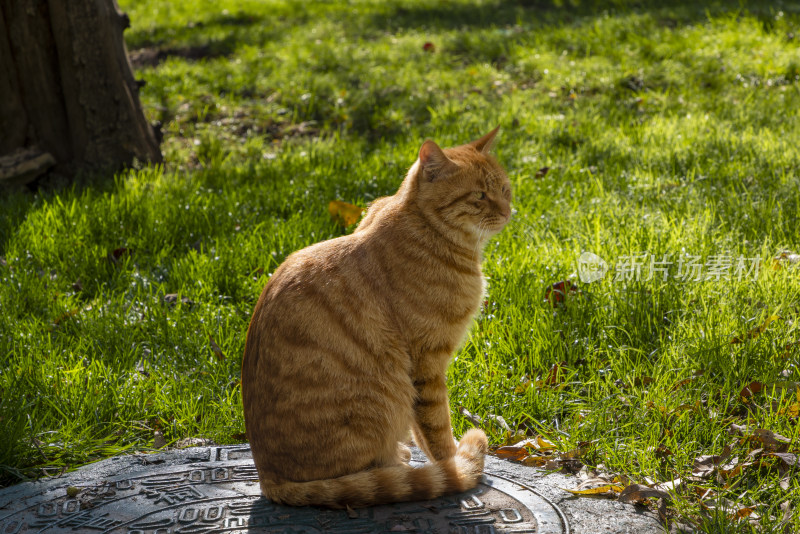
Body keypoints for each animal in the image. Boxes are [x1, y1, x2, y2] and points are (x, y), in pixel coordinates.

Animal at [241, 127, 512, 508]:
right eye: (479, 195)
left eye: (503, 189)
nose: (507, 211)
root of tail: (268, 479)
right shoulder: (427, 361)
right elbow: (436, 428)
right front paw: (454, 465)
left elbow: (420, 428)